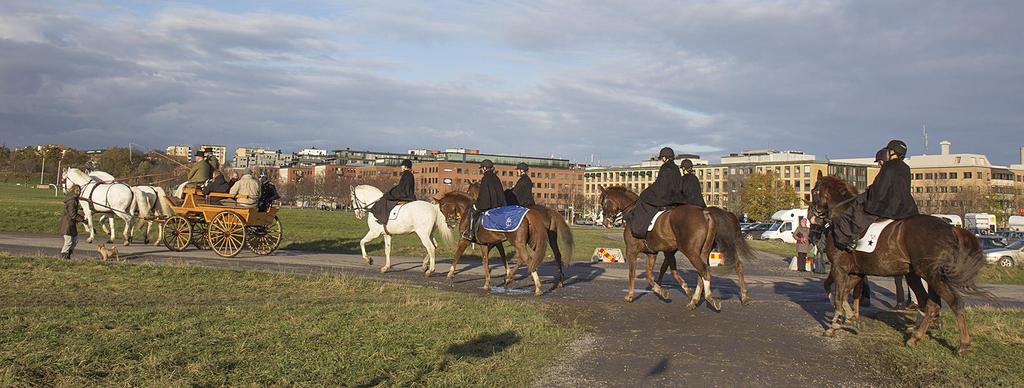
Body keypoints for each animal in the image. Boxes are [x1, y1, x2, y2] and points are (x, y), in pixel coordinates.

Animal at [428, 190, 565, 294]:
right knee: (542, 256)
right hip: (531, 242)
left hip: (518, 242)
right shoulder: (485, 244)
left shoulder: (465, 240)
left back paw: (537, 286)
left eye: (442, 208)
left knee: (527, 258)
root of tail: (528, 213)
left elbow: (457, 256)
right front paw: (487, 283)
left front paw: (450, 275)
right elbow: (486, 261)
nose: (449, 223)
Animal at [598, 187, 757, 311]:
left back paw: (709, 298)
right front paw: (661, 289)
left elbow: (633, 274)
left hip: (692, 251)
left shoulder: (632, 251)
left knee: (704, 271)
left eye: (603, 203)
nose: (605, 222)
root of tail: (705, 213)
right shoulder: (653, 253)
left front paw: (631, 295)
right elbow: (654, 273)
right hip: (704, 251)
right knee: (719, 268)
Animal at [806, 175, 991, 356]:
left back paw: (962, 344)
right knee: (931, 304)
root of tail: (951, 229)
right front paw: (852, 320)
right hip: (921, 275)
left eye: (814, 191)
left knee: (954, 303)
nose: (813, 218)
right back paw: (916, 337)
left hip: (932, 275)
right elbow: (844, 295)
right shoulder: (856, 273)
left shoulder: (840, 269)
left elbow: (839, 296)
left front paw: (834, 326)